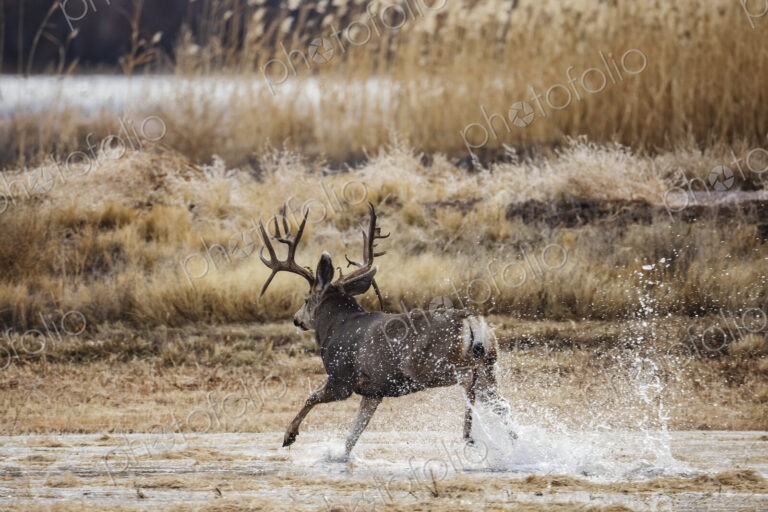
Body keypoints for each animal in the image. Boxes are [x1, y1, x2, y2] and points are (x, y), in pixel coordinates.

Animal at [258, 203, 516, 458]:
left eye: (305, 299)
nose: (296, 319)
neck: (335, 326)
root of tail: (472, 321)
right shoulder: (373, 392)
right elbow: (352, 438)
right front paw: (340, 458)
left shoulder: (342, 378)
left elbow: (310, 397)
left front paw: (288, 436)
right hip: (488, 366)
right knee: (502, 403)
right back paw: (514, 442)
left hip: (435, 366)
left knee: (469, 383)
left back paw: (469, 435)